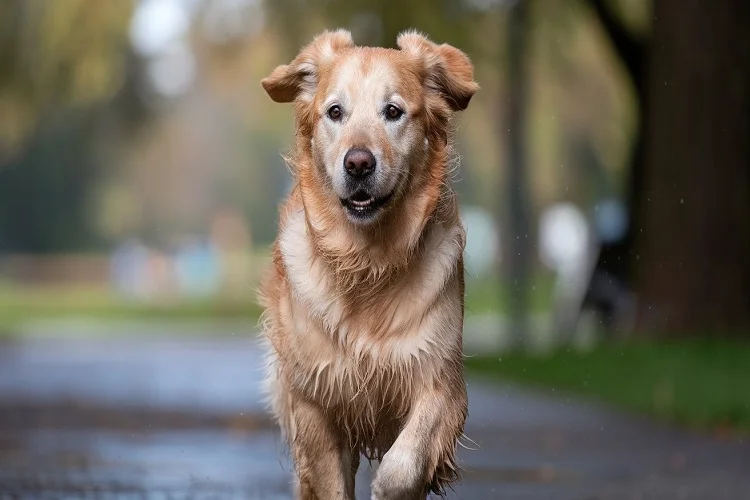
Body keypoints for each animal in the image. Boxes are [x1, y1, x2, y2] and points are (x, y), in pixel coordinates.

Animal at [258, 29, 478, 498]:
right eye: (335, 112)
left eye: (393, 112)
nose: (358, 163)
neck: (367, 262)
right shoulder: (315, 399)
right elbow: (330, 483)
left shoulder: (440, 382)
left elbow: (403, 467)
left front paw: (391, 485)